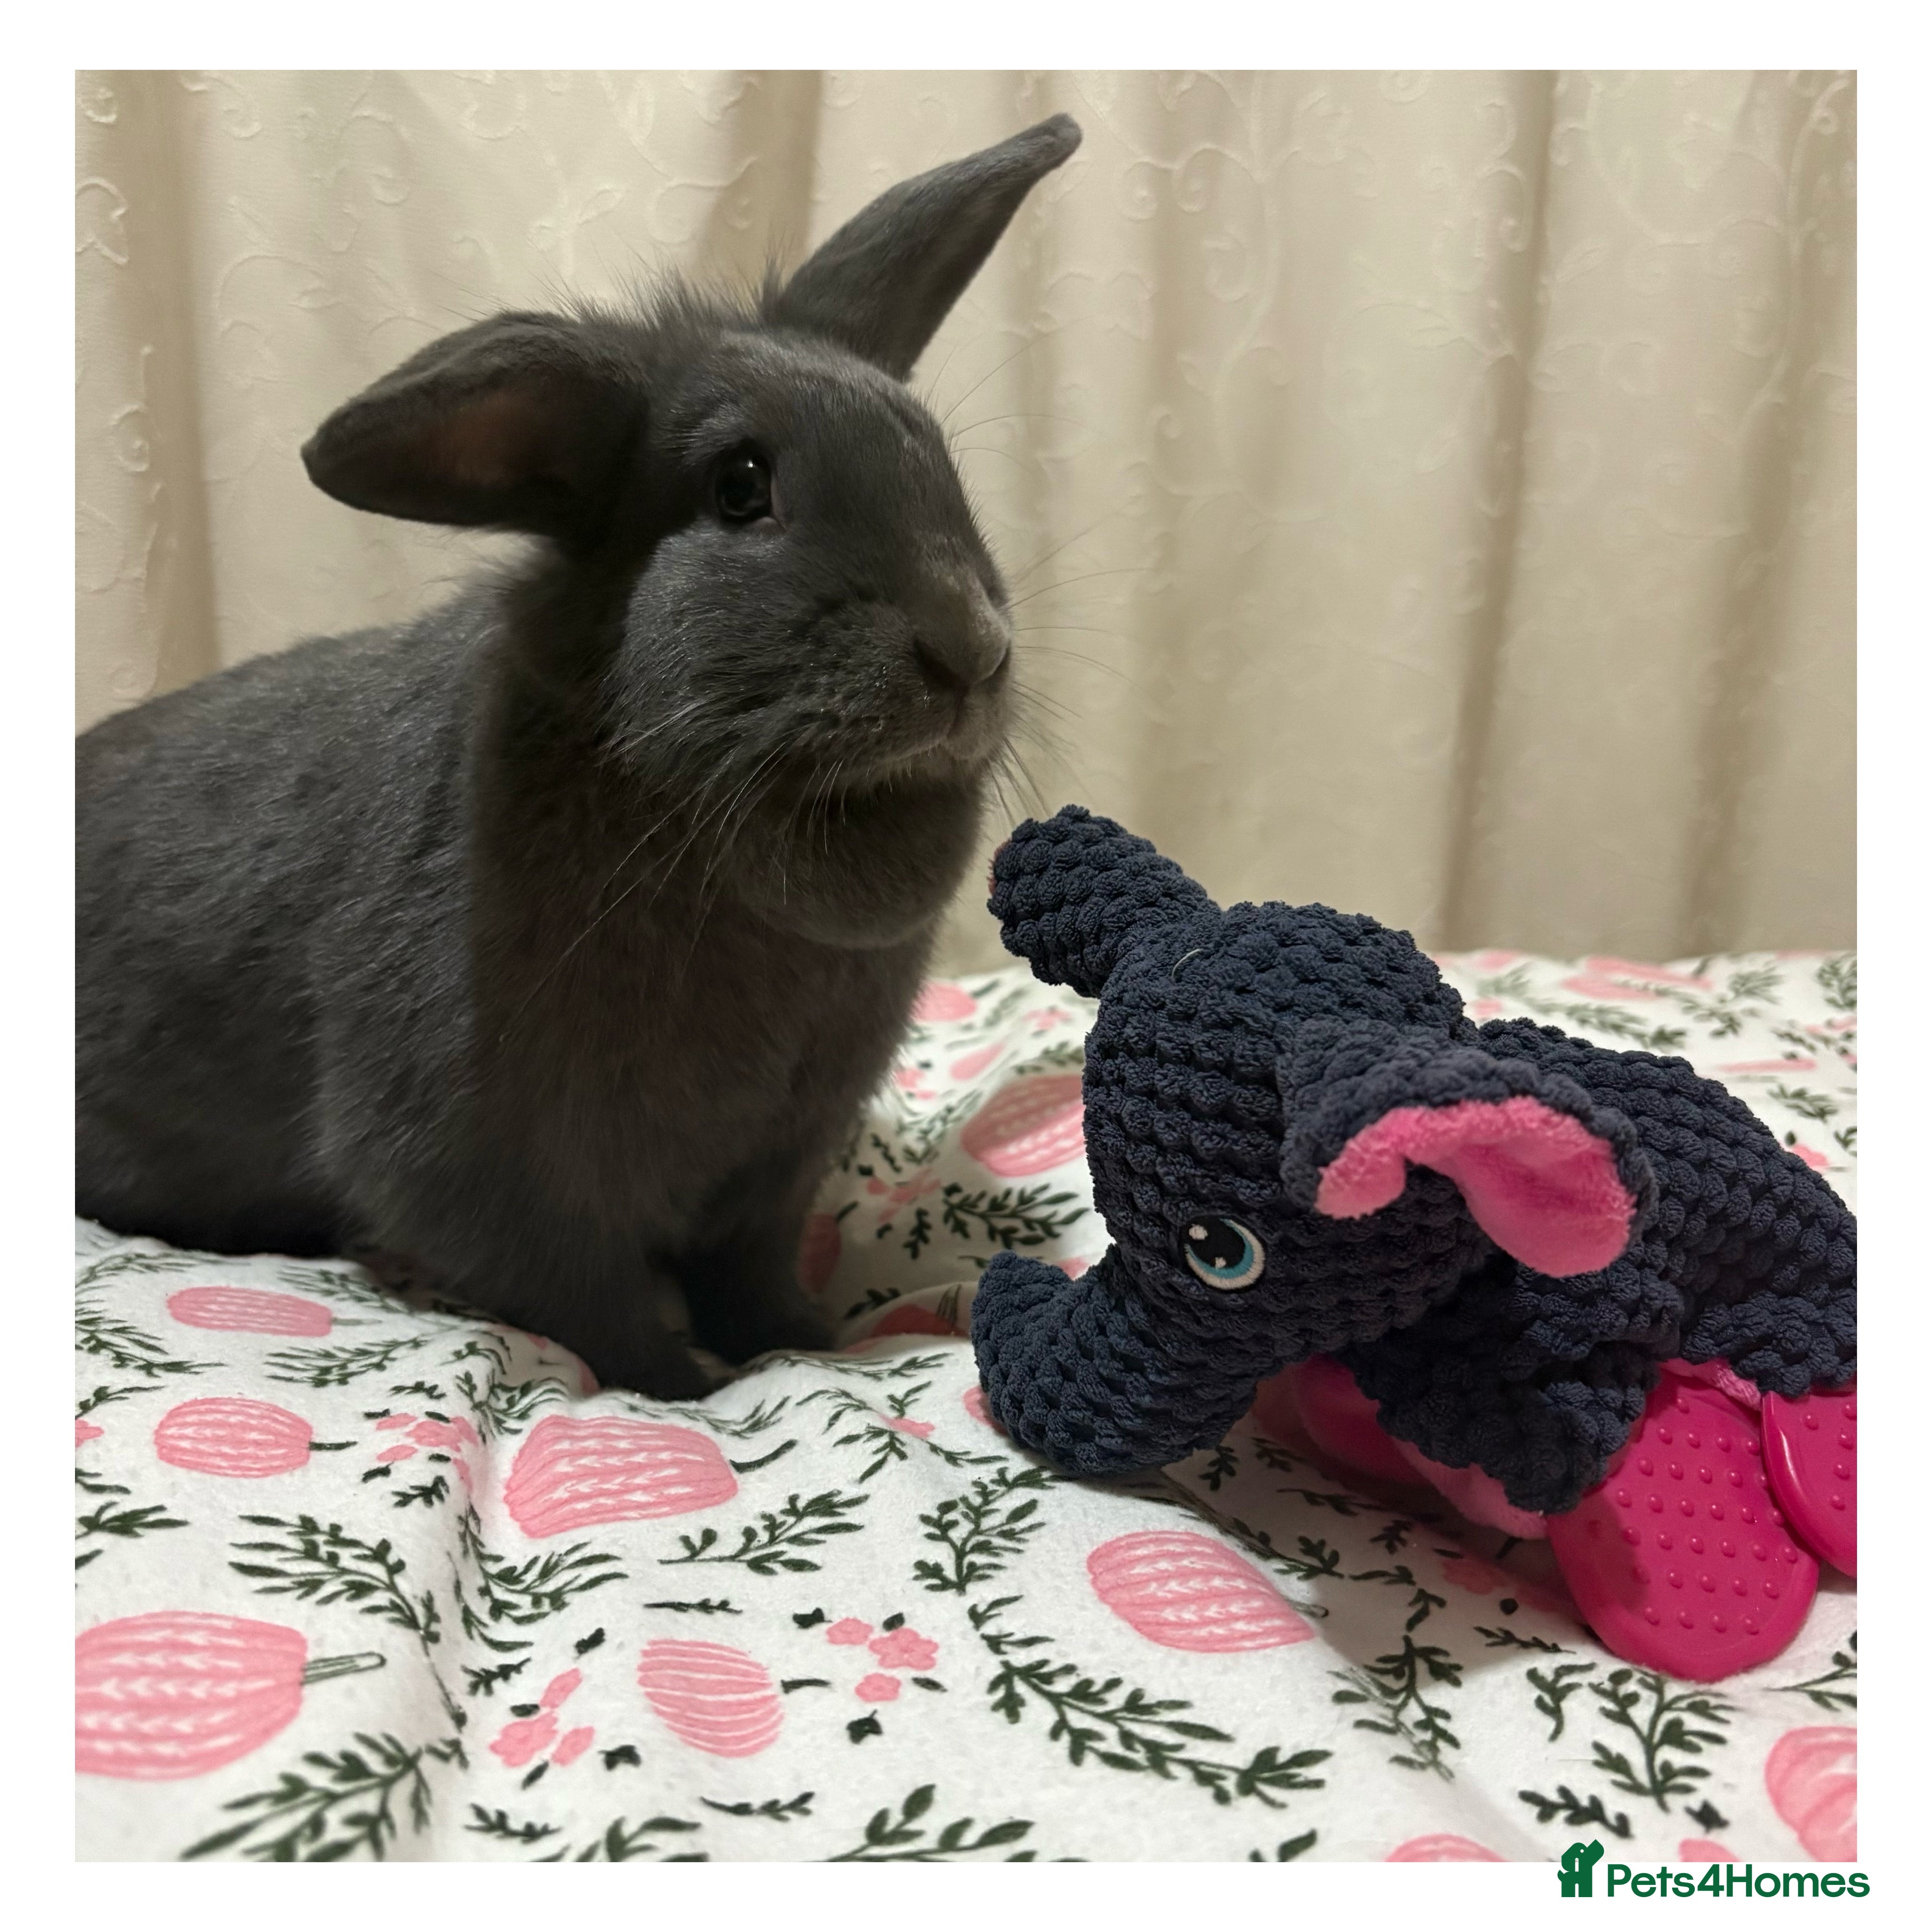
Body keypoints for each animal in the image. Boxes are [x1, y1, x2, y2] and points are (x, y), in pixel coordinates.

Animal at [76, 114, 1083, 1398]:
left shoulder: (774, 1164)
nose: (969, 650)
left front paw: (807, 1339)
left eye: (934, 458)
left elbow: (749, 1271)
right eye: (739, 487)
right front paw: (693, 1388)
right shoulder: (488, 1168)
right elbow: (591, 1303)